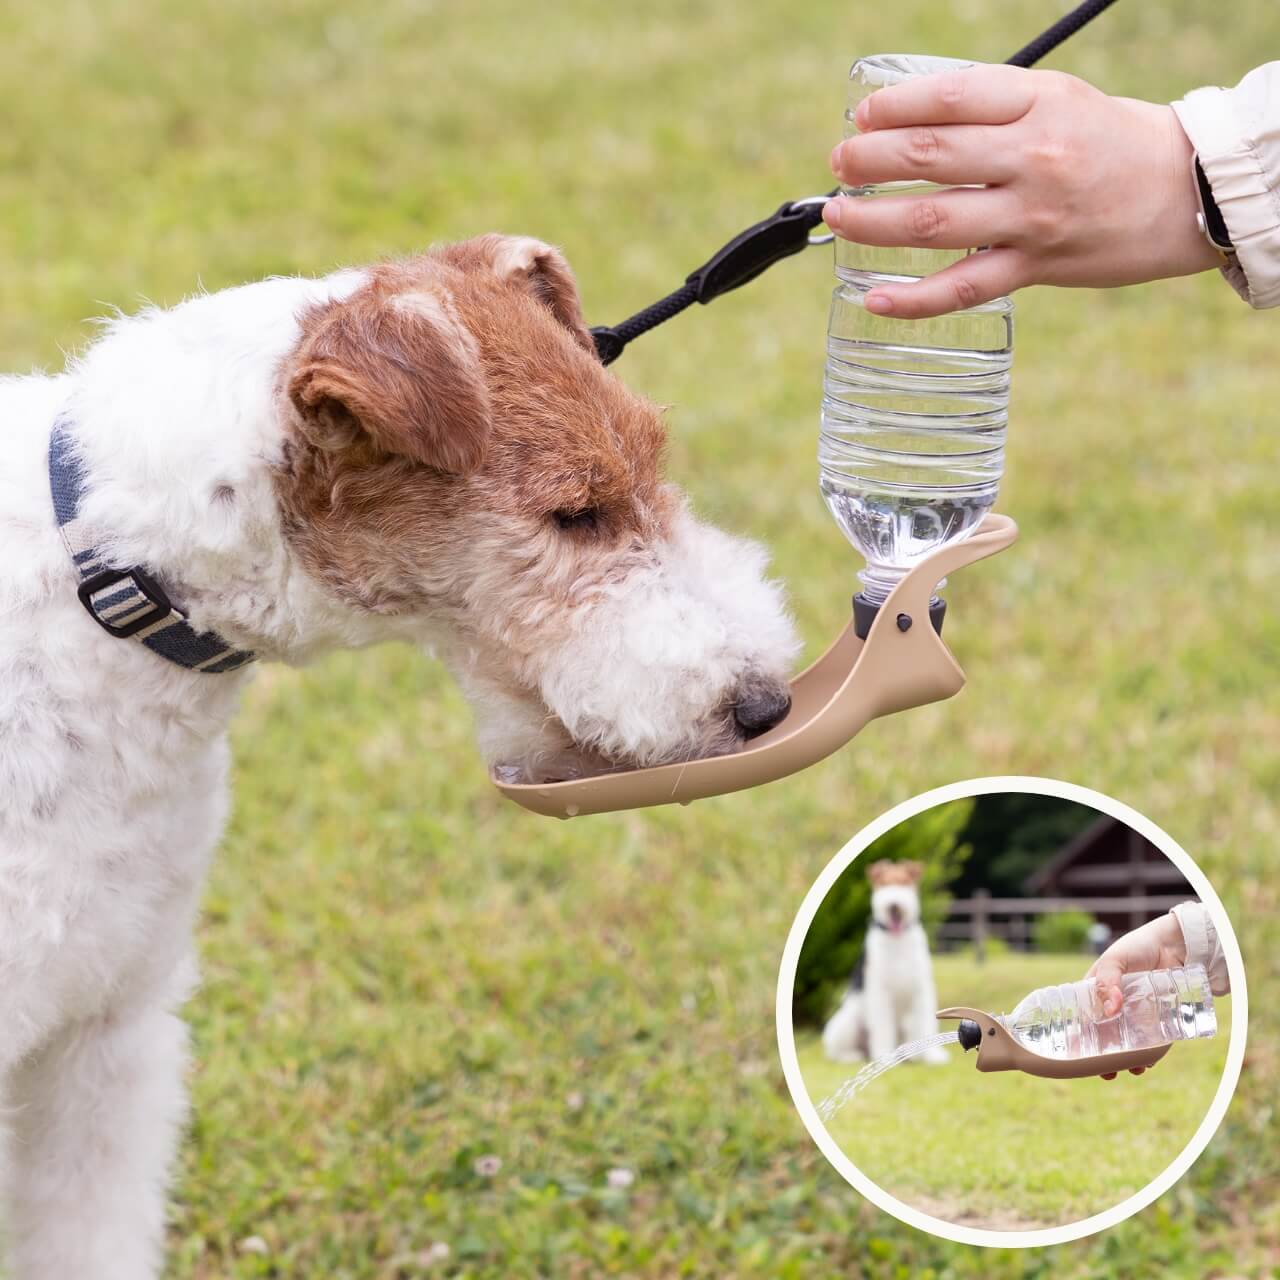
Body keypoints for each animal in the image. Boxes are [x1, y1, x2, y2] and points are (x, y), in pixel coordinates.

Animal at [824, 860, 947, 1070]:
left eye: (905, 881)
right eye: (882, 883)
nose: (894, 905)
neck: (897, 939)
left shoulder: (921, 988)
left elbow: (927, 1023)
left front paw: (933, 1056)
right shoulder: (880, 990)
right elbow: (882, 1027)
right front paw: (885, 1058)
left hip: (908, 1023)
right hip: (847, 1023)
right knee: (840, 1050)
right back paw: (853, 1057)